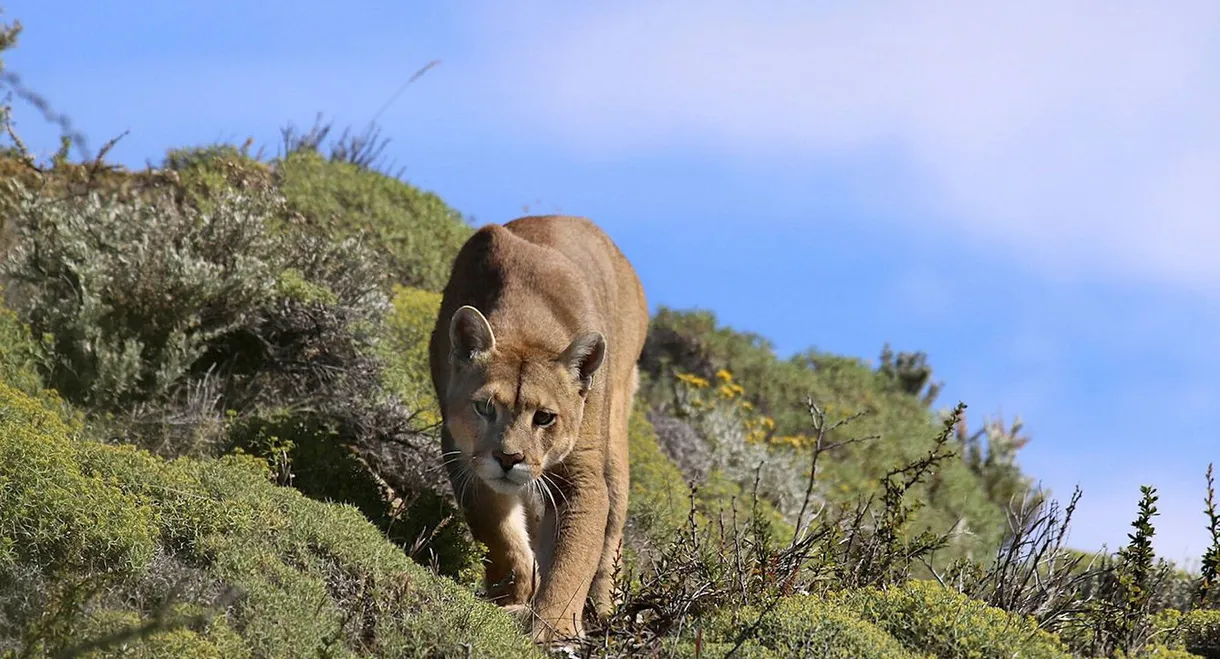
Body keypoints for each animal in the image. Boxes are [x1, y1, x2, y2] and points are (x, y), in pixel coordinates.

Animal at [427, 214, 649, 643]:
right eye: (485, 407)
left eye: (545, 417)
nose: (508, 458)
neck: (525, 325)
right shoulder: (463, 456)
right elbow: (497, 533)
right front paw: (513, 594)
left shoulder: (581, 477)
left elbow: (573, 558)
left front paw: (553, 628)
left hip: (616, 442)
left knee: (611, 536)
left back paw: (604, 610)